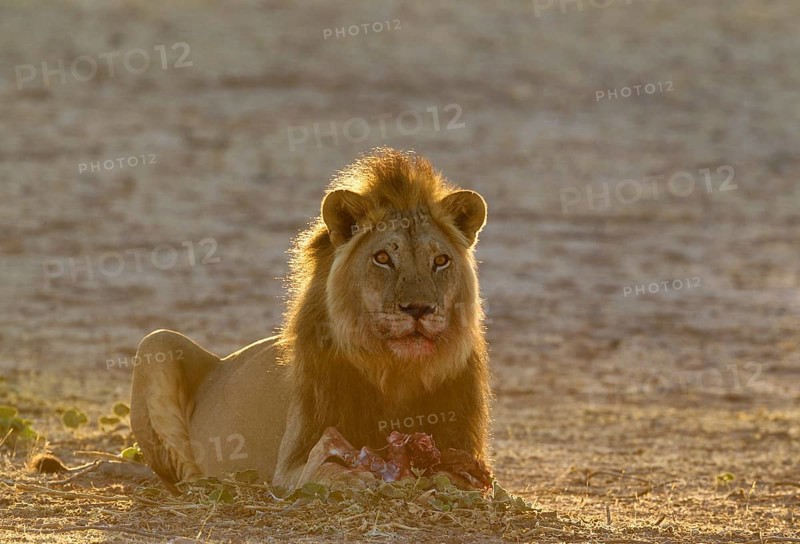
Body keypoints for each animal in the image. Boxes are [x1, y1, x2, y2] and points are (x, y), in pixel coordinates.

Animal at [130, 148, 491, 492]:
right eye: (382, 258)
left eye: (440, 261)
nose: (418, 308)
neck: (396, 373)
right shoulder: (289, 465)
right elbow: (323, 468)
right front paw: (355, 475)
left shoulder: (463, 443)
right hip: (156, 342)